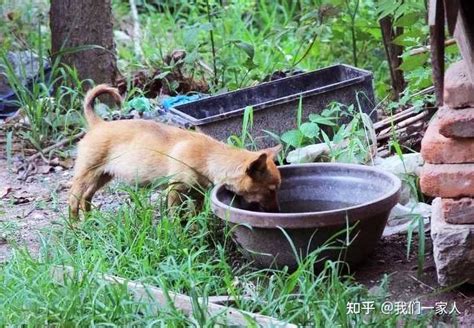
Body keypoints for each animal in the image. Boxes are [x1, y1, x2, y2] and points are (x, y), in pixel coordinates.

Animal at [70, 84, 282, 218]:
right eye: (271, 190)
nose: (277, 211)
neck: (209, 157)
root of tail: (98, 124)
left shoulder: (197, 194)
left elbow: (194, 214)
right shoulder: (175, 191)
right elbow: (177, 217)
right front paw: (180, 233)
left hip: (103, 175)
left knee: (86, 198)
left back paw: (90, 222)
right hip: (86, 174)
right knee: (73, 200)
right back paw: (76, 227)